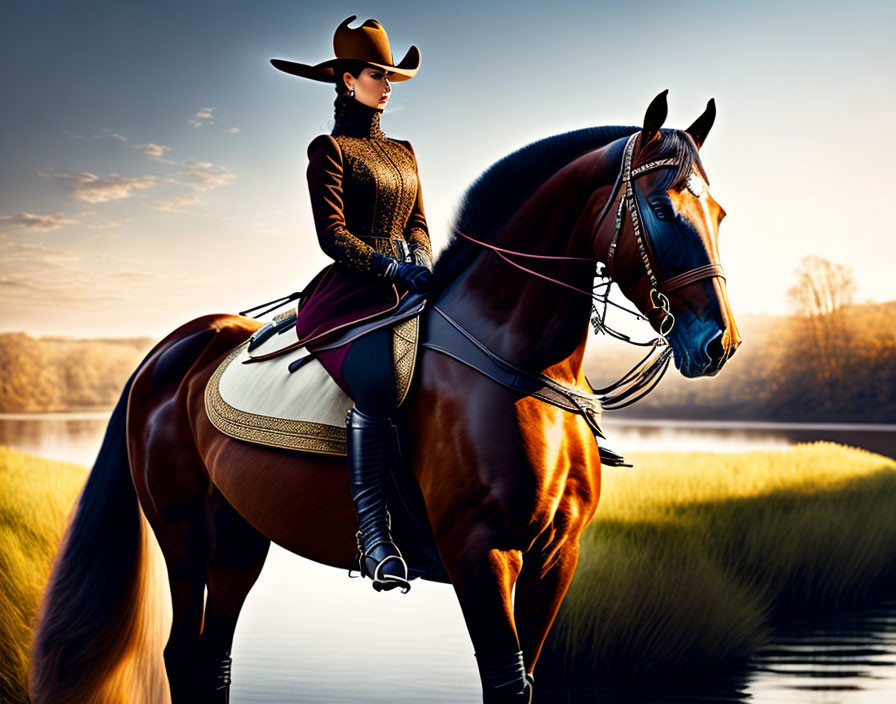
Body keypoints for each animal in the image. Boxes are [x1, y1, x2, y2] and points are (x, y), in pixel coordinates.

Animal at [29, 91, 744, 700]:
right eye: (661, 210)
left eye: (718, 213)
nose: (719, 343)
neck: (523, 368)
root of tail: (168, 351)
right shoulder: (480, 553)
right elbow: (504, 684)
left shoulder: (555, 558)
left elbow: (529, 681)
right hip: (182, 530)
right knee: (181, 653)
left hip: (237, 535)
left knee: (212, 657)